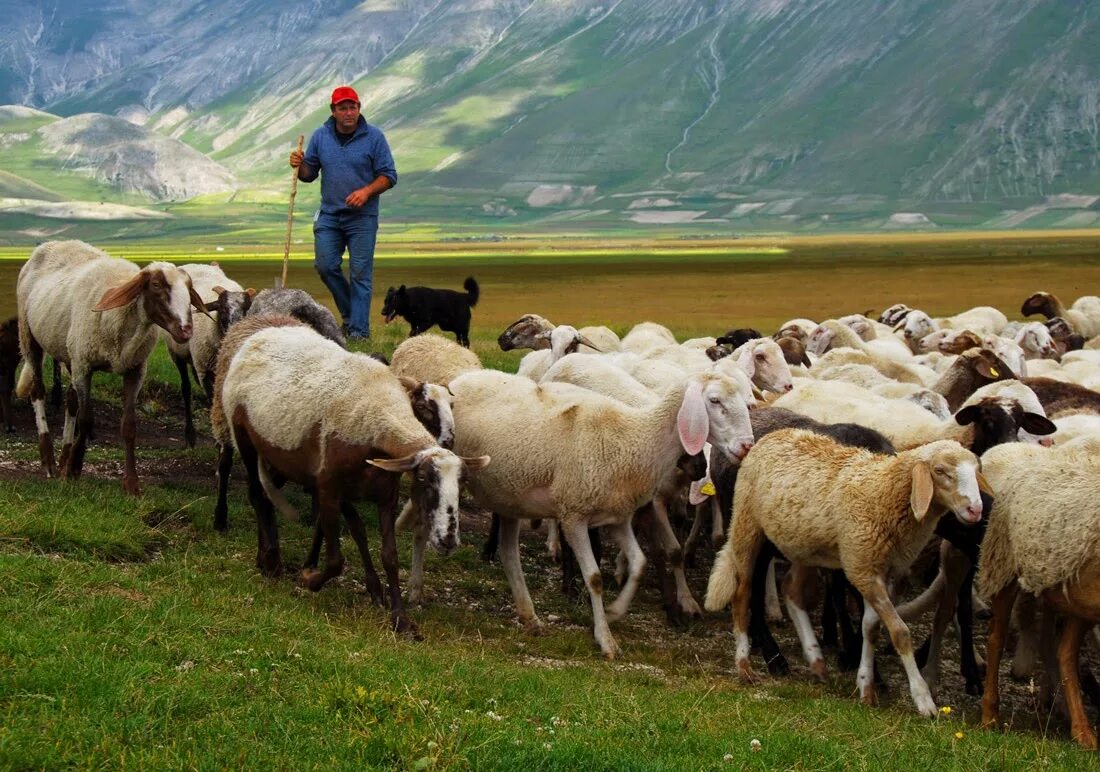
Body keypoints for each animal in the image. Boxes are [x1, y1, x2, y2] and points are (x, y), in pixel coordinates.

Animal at [16, 240, 206, 497]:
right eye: (156, 285)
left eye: (189, 288)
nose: (185, 330)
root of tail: (54, 243)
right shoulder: (84, 365)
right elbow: (86, 419)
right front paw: (74, 469)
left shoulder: (135, 370)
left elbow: (129, 426)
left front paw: (132, 484)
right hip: (29, 337)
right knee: (38, 392)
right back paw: (50, 462)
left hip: (68, 351)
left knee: (70, 402)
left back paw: (64, 457)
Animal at [216, 323, 488, 637]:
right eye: (422, 478)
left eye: (463, 482)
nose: (448, 540)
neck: (378, 422)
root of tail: (263, 333)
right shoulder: (328, 489)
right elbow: (336, 559)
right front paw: (310, 578)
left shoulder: (385, 496)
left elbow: (389, 556)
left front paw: (399, 618)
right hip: (244, 438)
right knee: (258, 496)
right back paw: (271, 561)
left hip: (279, 455)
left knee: (267, 493)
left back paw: (265, 557)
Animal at [704, 428, 990, 721]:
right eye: (940, 471)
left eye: (976, 469)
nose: (976, 510)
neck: (884, 491)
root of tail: (776, 434)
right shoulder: (862, 568)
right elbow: (900, 632)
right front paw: (923, 699)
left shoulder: (880, 571)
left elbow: (870, 628)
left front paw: (866, 687)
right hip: (747, 522)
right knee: (742, 592)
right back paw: (744, 664)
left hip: (803, 543)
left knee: (791, 588)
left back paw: (816, 660)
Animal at [981, 442, 1100, 747]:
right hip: (1004, 564)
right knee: (996, 639)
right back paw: (990, 716)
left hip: (1075, 594)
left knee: (1065, 653)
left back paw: (1082, 732)